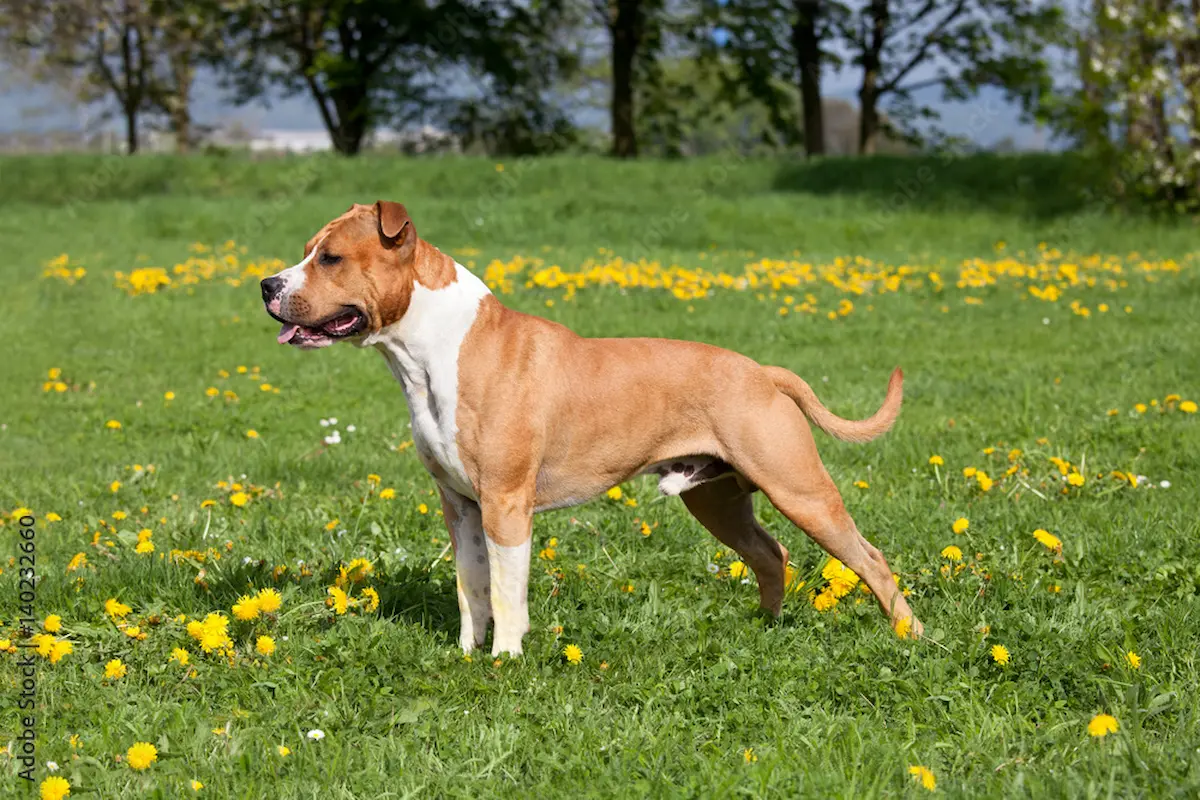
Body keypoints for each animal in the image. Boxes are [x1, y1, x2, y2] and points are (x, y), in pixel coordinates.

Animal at [262, 201, 916, 657]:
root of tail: (762, 372)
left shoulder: (505, 503)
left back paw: (910, 638)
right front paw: (467, 654)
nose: (267, 285)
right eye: (306, 251)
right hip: (717, 500)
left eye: (330, 258)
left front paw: (505, 660)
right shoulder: (460, 505)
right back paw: (768, 628)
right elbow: (472, 587)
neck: (432, 350)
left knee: (871, 558)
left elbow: (507, 590)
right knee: (771, 553)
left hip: (799, 489)